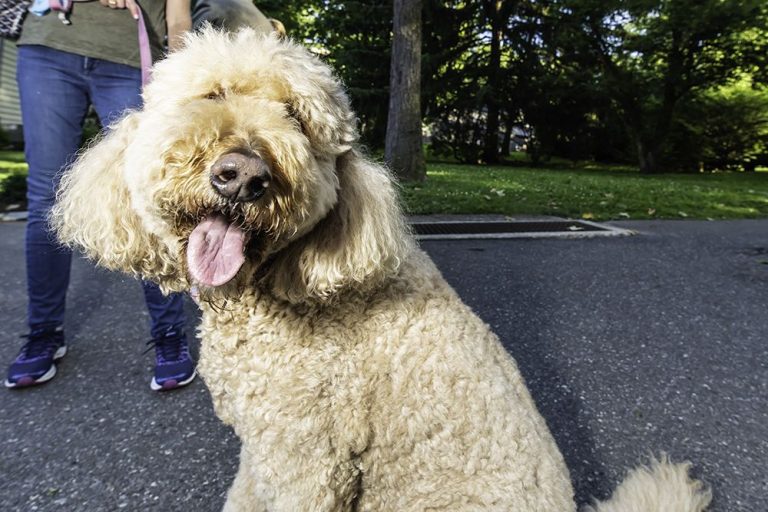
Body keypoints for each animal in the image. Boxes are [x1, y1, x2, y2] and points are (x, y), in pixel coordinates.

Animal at [52, 29, 712, 512]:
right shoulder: (262, 448)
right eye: (212, 95)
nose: (243, 176)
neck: (275, 290)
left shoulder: (308, 456)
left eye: (295, 117)